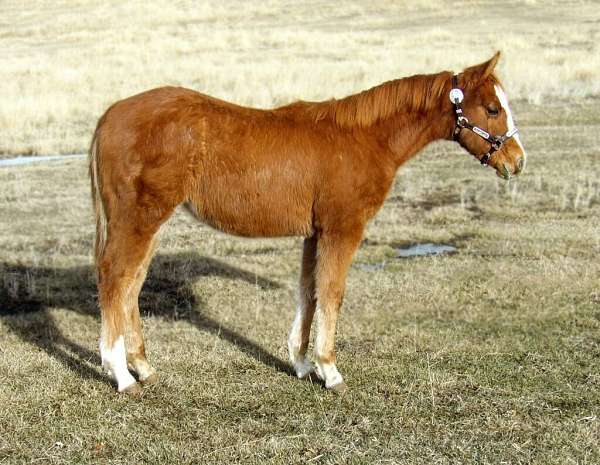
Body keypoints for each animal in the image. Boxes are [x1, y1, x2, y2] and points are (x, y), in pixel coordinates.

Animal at [88, 49, 524, 392]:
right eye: (492, 109)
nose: (517, 161)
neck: (364, 140)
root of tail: (110, 114)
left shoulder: (315, 233)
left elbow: (309, 291)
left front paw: (300, 363)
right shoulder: (342, 229)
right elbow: (332, 293)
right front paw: (329, 371)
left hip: (149, 224)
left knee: (131, 284)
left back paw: (143, 368)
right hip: (138, 219)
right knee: (115, 277)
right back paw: (121, 375)